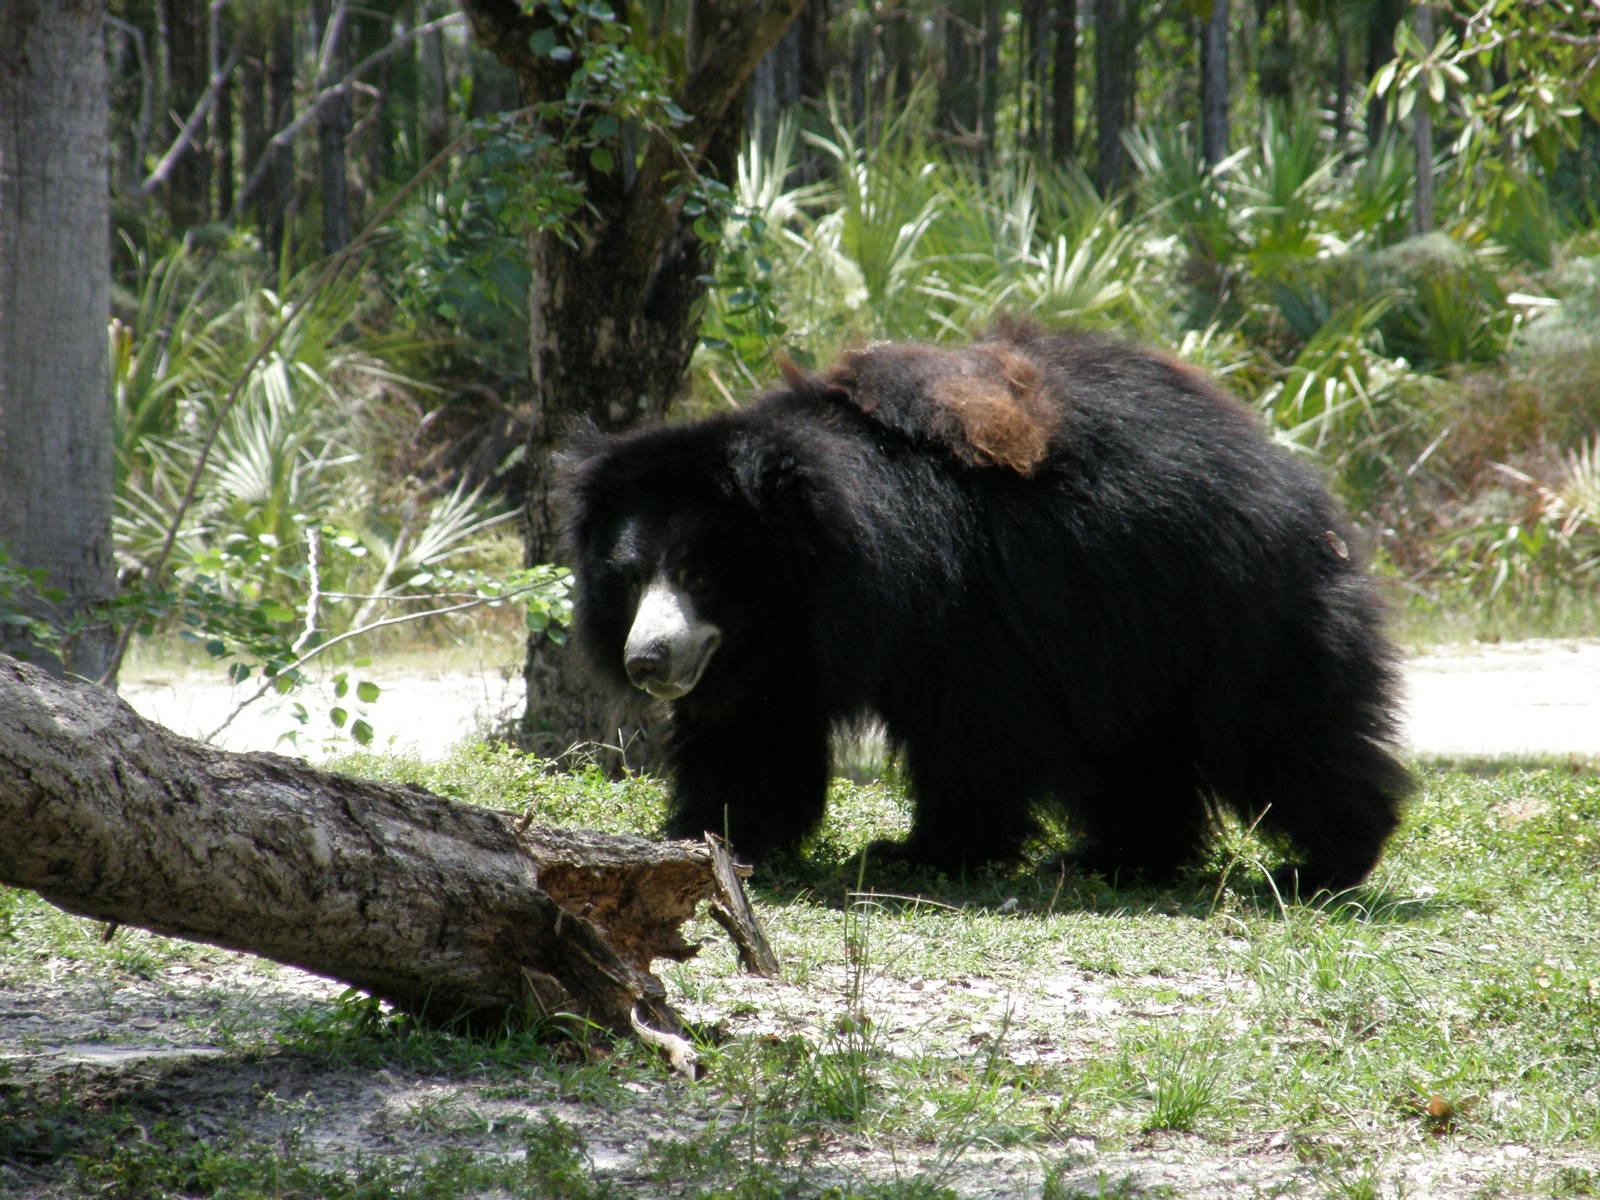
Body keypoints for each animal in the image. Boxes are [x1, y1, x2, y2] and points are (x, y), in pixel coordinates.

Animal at [559, 322, 1412, 891]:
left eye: (701, 572)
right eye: (628, 579)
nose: (646, 660)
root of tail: (1291, 478)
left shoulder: (969, 611)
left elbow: (972, 731)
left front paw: (920, 853)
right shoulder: (776, 653)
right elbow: (752, 739)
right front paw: (712, 838)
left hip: (1228, 606)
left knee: (1275, 729)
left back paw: (1329, 860)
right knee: (1142, 752)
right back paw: (1117, 858)